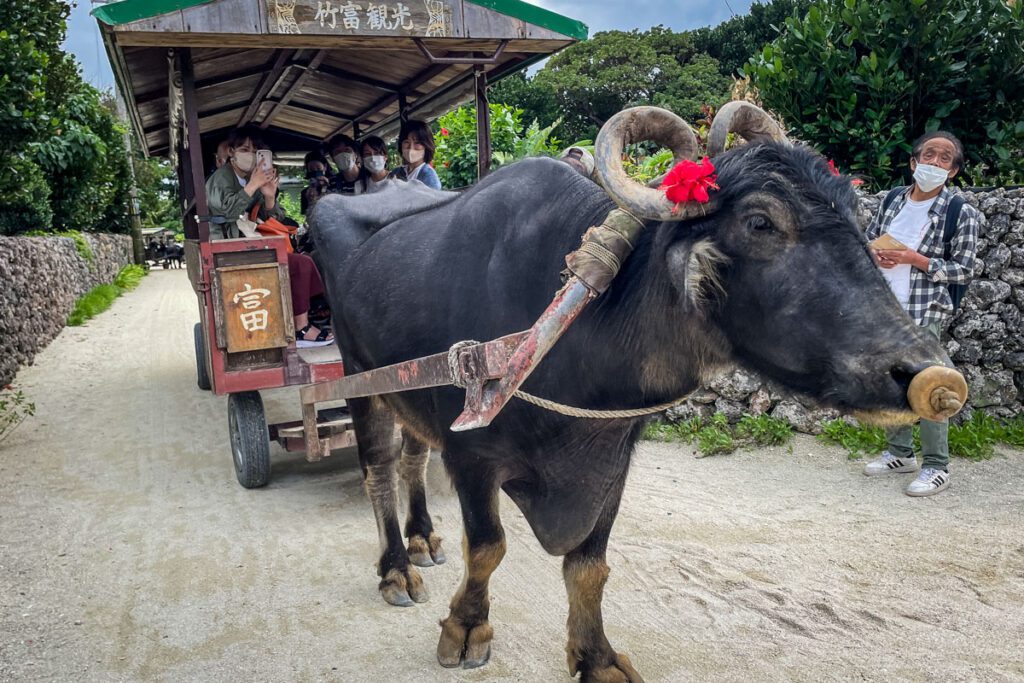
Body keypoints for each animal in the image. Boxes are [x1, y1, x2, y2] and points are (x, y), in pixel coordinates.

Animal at [309, 104, 958, 679]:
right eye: (760, 222)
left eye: (856, 217)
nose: (933, 375)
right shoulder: (472, 450)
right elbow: (489, 547)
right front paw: (466, 630)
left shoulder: (612, 455)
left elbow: (589, 566)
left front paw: (596, 659)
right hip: (358, 376)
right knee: (378, 468)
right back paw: (396, 569)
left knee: (413, 457)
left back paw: (423, 539)